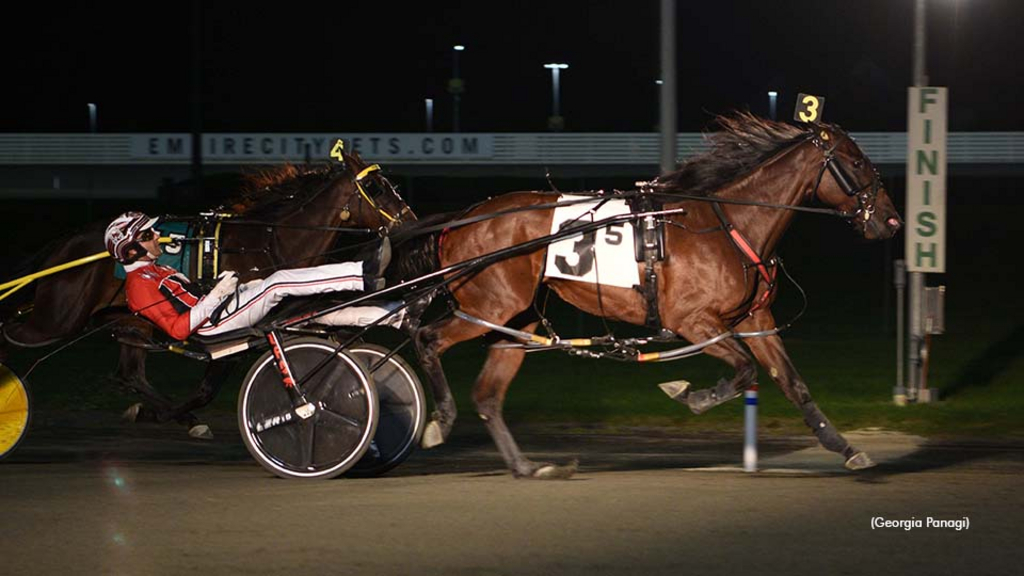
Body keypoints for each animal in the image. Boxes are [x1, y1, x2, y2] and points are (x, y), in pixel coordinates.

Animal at [3, 150, 415, 432]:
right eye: (376, 187)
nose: (410, 221)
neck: (271, 240)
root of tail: (65, 243)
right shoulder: (232, 331)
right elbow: (207, 387)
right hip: (57, 318)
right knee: (14, 332)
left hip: (128, 319)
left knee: (129, 374)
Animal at [409, 112, 905, 475]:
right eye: (856, 162)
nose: (892, 221)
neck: (731, 224)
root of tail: (463, 217)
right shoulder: (693, 320)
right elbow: (744, 369)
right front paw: (690, 393)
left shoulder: (755, 320)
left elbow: (792, 382)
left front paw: (846, 448)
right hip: (490, 305)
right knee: (427, 339)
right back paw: (440, 420)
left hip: (517, 319)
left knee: (488, 395)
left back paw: (527, 466)